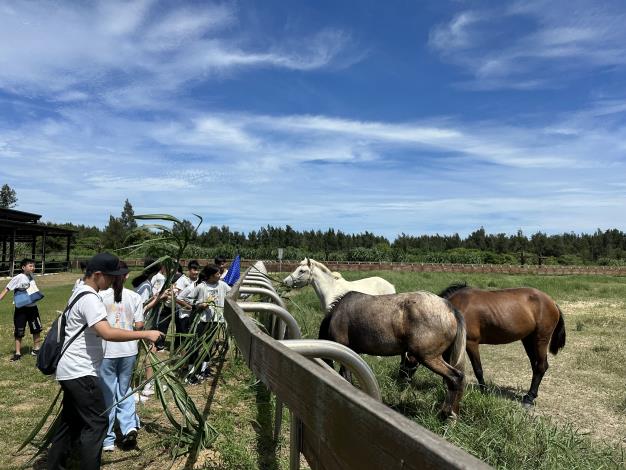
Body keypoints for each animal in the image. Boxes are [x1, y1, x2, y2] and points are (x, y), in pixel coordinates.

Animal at [320, 290, 466, 418]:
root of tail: (450, 309)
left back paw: (447, 414)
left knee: (455, 377)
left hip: (429, 358)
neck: (336, 314)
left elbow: (346, 377)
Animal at [436, 282, 564, 408]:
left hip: (541, 340)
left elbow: (478, 369)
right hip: (528, 340)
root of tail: (552, 302)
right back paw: (531, 395)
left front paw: (484, 391)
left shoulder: (471, 343)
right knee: (536, 366)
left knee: (541, 366)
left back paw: (529, 398)